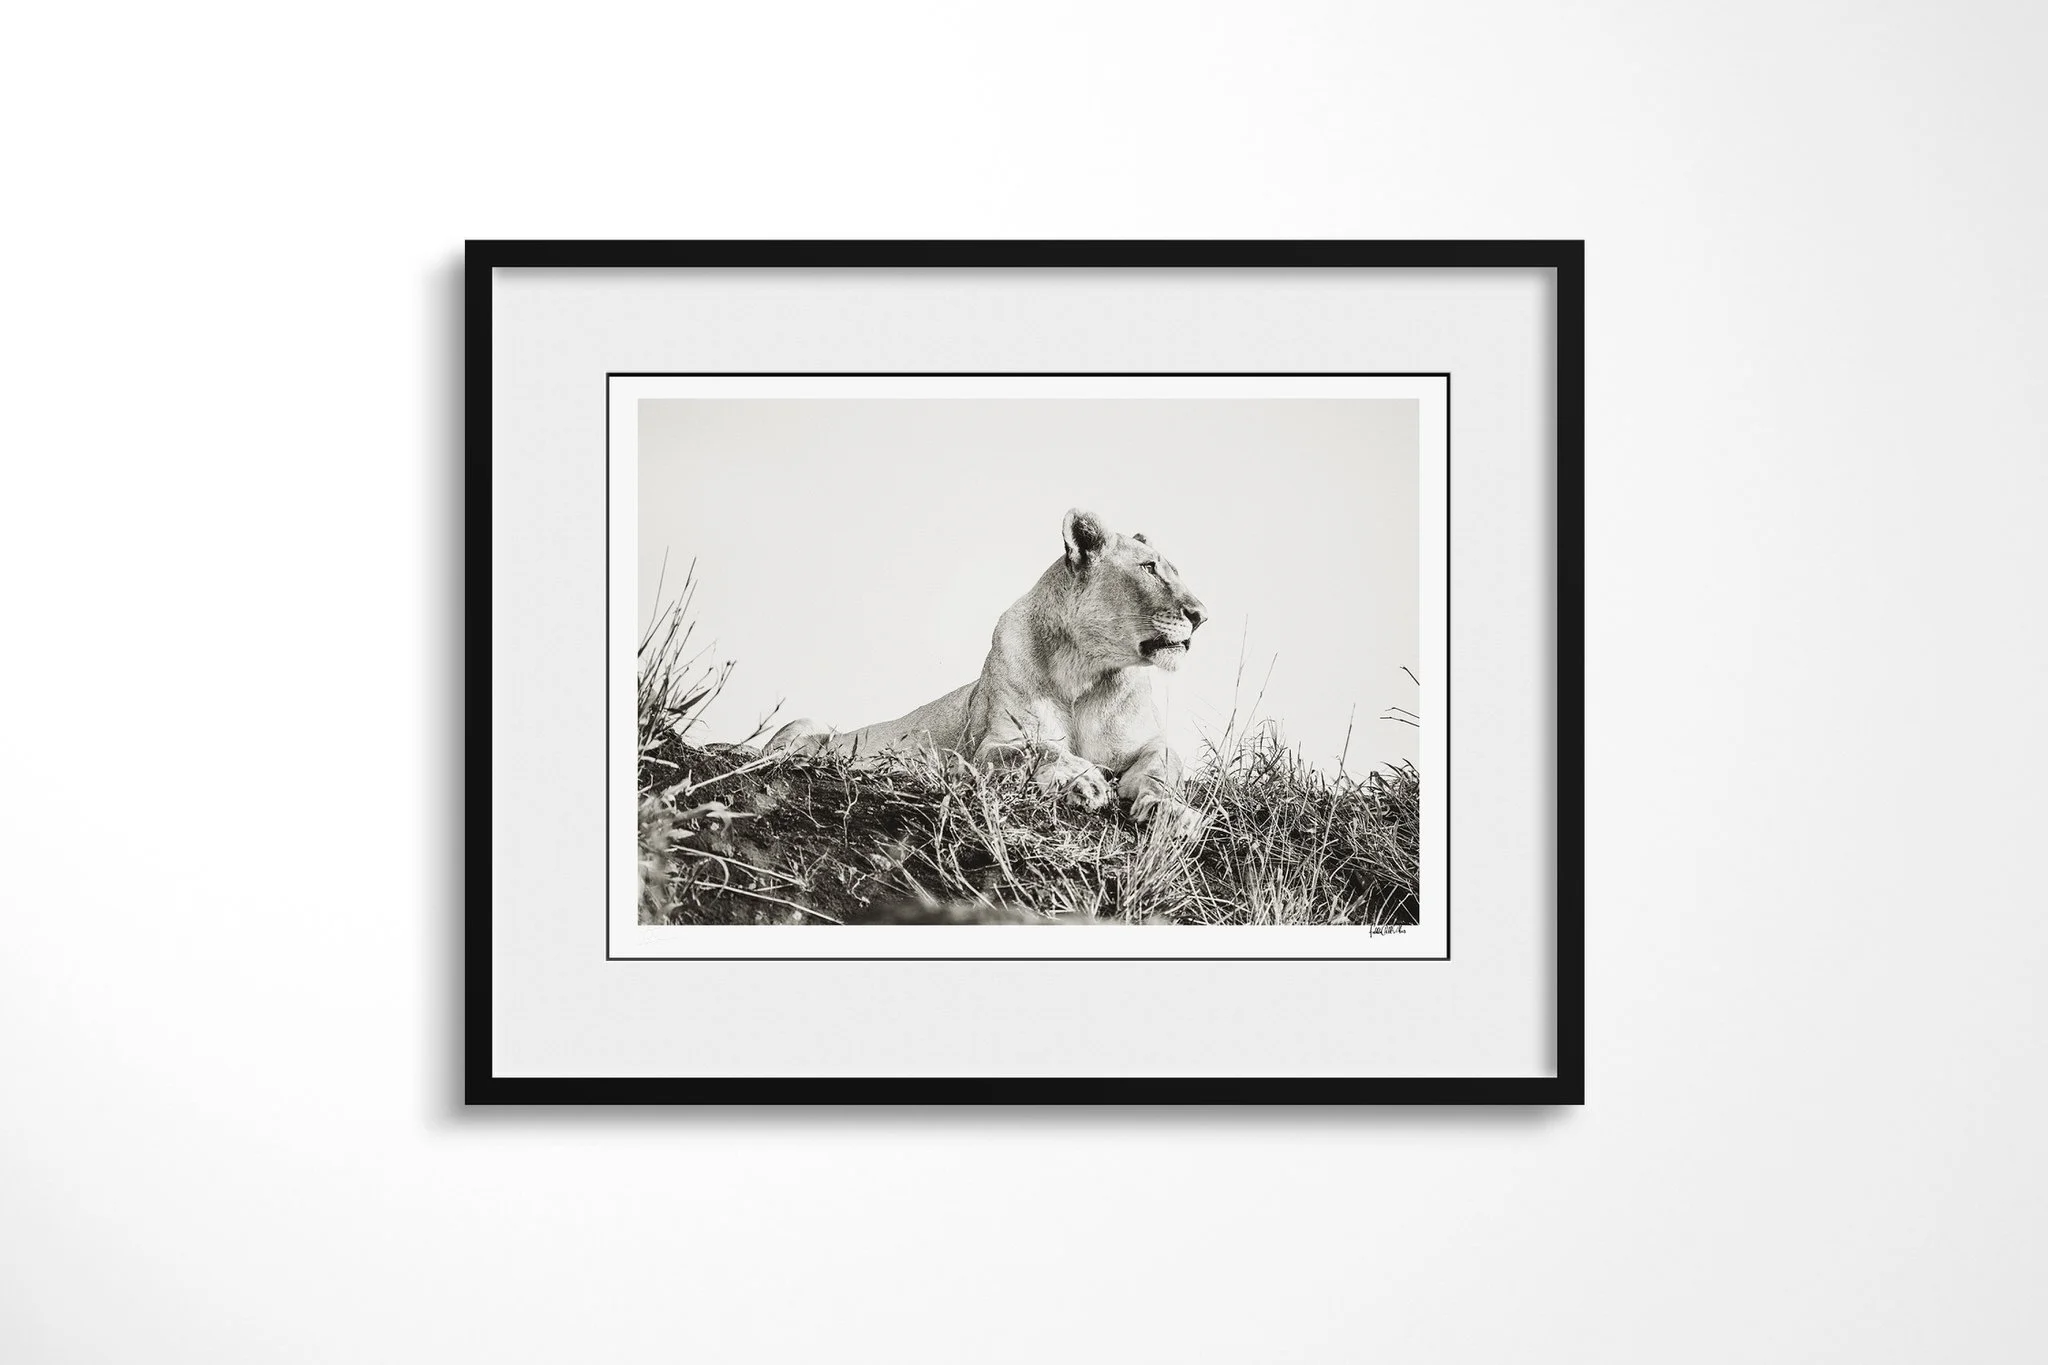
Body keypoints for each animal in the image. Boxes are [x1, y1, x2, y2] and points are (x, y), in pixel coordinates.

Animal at [765, 508, 1210, 838]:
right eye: (1149, 568)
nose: (1202, 616)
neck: (1085, 670)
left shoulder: (1149, 743)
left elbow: (1163, 767)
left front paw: (1171, 811)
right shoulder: (994, 744)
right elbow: (1040, 747)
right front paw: (1085, 782)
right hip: (804, 722)